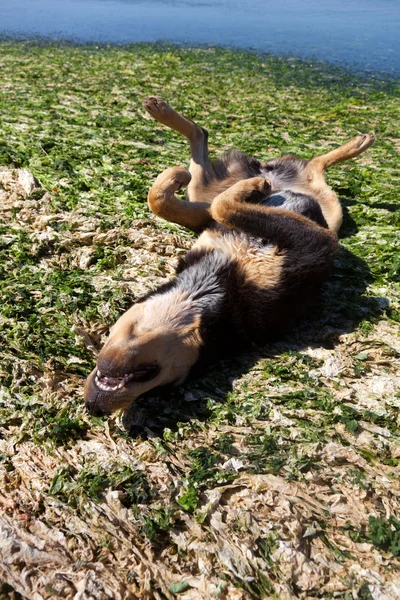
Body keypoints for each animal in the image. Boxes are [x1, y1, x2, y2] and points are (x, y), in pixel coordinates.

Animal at [84, 98, 376, 418]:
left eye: (153, 384)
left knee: (309, 164)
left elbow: (166, 199)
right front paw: (249, 189)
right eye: (159, 390)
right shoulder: (317, 241)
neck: (215, 285)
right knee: (209, 143)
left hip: (320, 208)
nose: (93, 408)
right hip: (225, 195)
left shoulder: (315, 240)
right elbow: (194, 203)